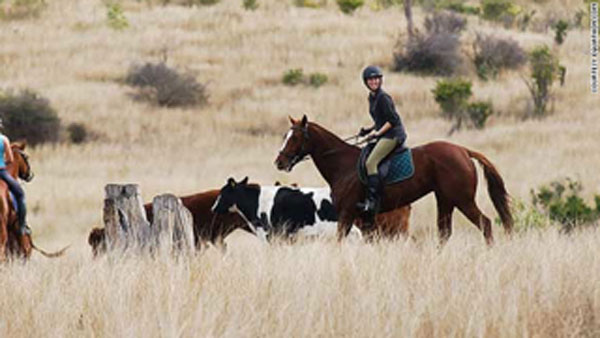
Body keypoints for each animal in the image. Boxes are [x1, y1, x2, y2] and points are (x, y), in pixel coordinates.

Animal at [274, 115, 512, 243]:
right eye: (285, 136)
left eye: (295, 137)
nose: (279, 162)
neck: (342, 164)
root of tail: (463, 150)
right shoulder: (366, 221)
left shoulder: (347, 213)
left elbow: (340, 241)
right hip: (445, 200)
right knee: (444, 232)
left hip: (462, 200)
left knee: (485, 224)